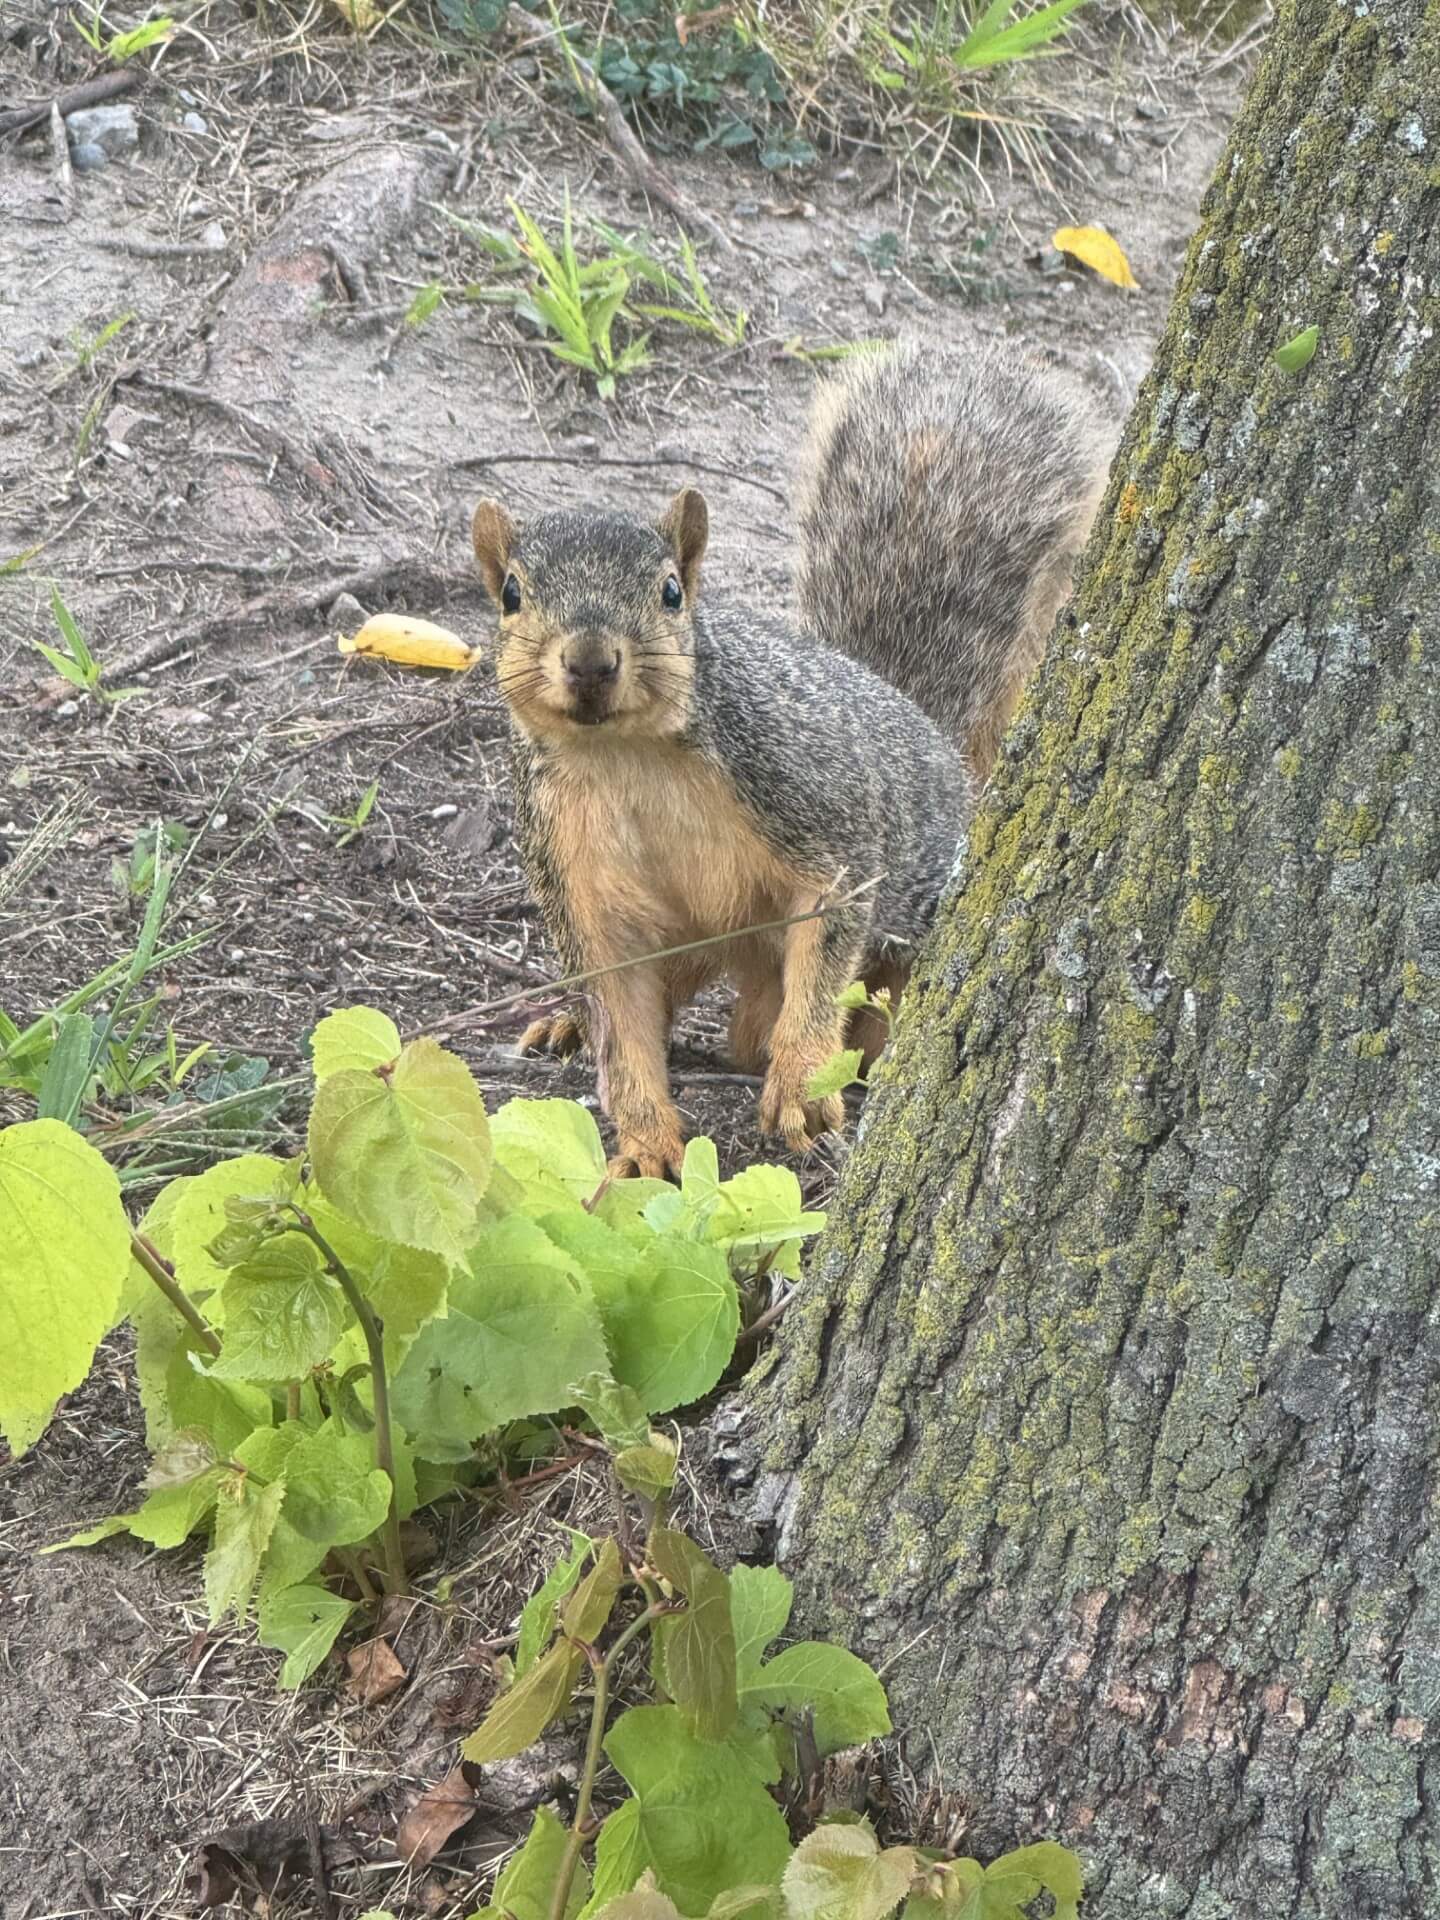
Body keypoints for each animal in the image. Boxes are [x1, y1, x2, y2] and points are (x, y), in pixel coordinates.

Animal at [471, 342, 1110, 1179]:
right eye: (512, 594)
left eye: (671, 591)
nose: (589, 662)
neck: (628, 758)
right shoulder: (574, 872)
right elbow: (619, 1016)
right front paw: (643, 1143)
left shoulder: (807, 796)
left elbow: (829, 938)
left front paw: (802, 1085)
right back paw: (567, 1025)